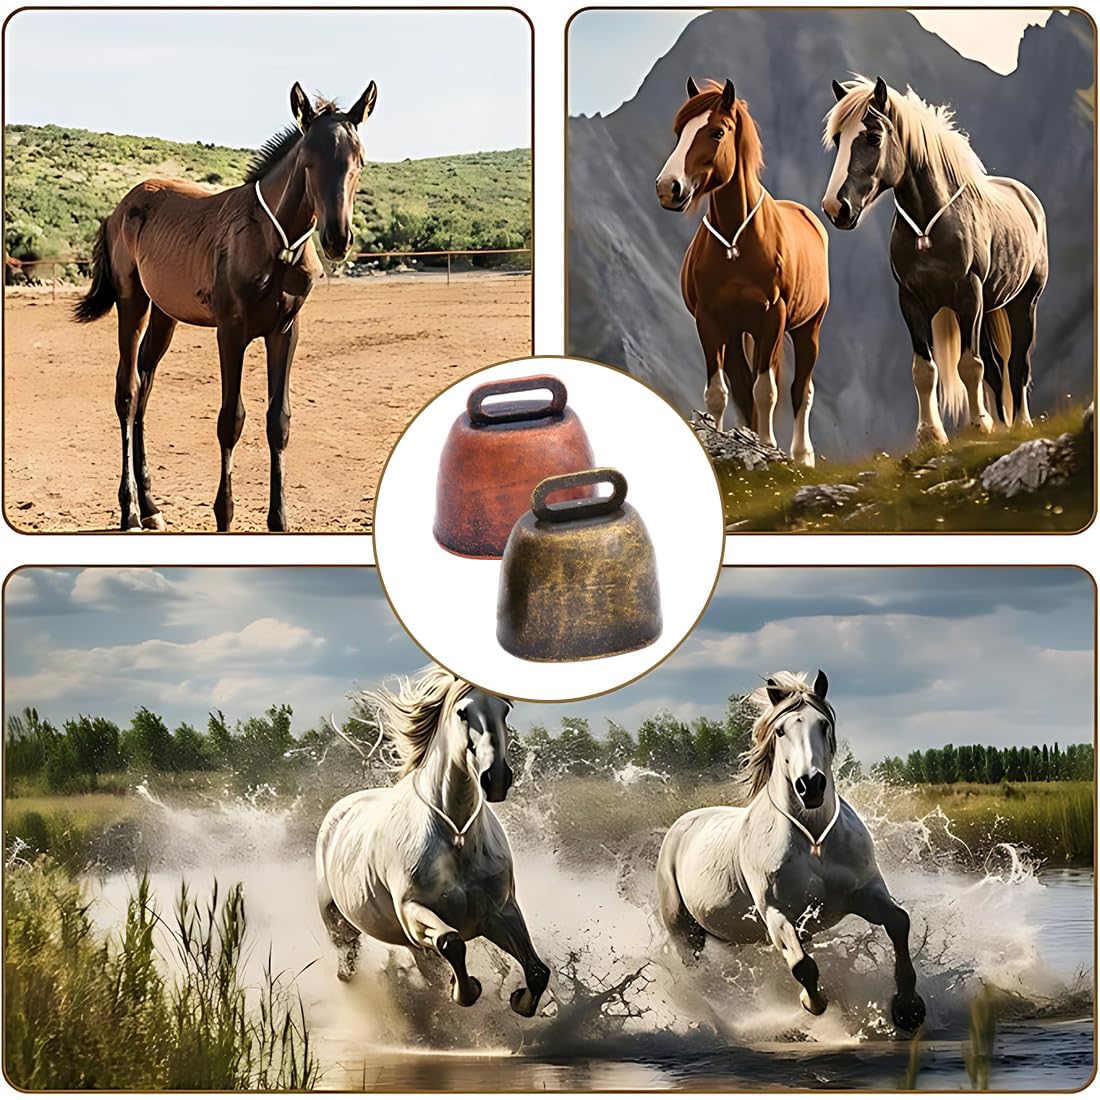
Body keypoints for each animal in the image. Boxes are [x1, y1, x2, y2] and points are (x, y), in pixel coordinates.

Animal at [73, 81, 377, 532]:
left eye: (359, 160)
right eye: (308, 161)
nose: (338, 238)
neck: (274, 241)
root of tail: (120, 209)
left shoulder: (284, 331)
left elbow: (278, 421)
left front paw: (279, 518)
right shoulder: (231, 332)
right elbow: (230, 420)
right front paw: (225, 513)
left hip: (164, 314)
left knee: (145, 385)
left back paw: (151, 506)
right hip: (133, 303)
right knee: (127, 391)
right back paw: (129, 510)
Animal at [315, 667, 550, 1017]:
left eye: (505, 710)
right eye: (462, 712)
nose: (496, 779)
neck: (456, 838)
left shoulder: (500, 913)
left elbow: (537, 971)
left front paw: (519, 1000)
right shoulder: (414, 912)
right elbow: (451, 942)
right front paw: (465, 990)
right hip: (338, 922)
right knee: (348, 960)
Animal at [656, 78, 830, 466]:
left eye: (717, 132)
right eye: (678, 132)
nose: (667, 188)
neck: (736, 243)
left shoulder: (773, 317)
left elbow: (766, 390)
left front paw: (766, 444)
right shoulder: (710, 320)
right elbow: (721, 391)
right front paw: (721, 441)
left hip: (806, 328)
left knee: (801, 390)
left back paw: (801, 455)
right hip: (738, 333)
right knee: (743, 385)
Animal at [656, 670, 926, 1031]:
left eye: (823, 724)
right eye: (780, 730)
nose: (810, 785)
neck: (814, 841)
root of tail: (679, 827)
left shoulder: (864, 894)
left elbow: (899, 922)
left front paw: (909, 1009)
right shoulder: (777, 914)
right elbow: (802, 966)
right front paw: (813, 1003)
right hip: (684, 932)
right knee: (698, 974)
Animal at [822, 75, 1048, 446]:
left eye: (873, 137)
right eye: (839, 139)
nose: (835, 208)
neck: (929, 226)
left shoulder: (969, 296)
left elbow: (970, 365)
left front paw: (978, 425)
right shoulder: (912, 301)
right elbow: (925, 370)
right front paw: (931, 434)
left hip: (1023, 302)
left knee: (1018, 364)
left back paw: (1020, 424)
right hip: (989, 308)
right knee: (996, 367)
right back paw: (1003, 426)